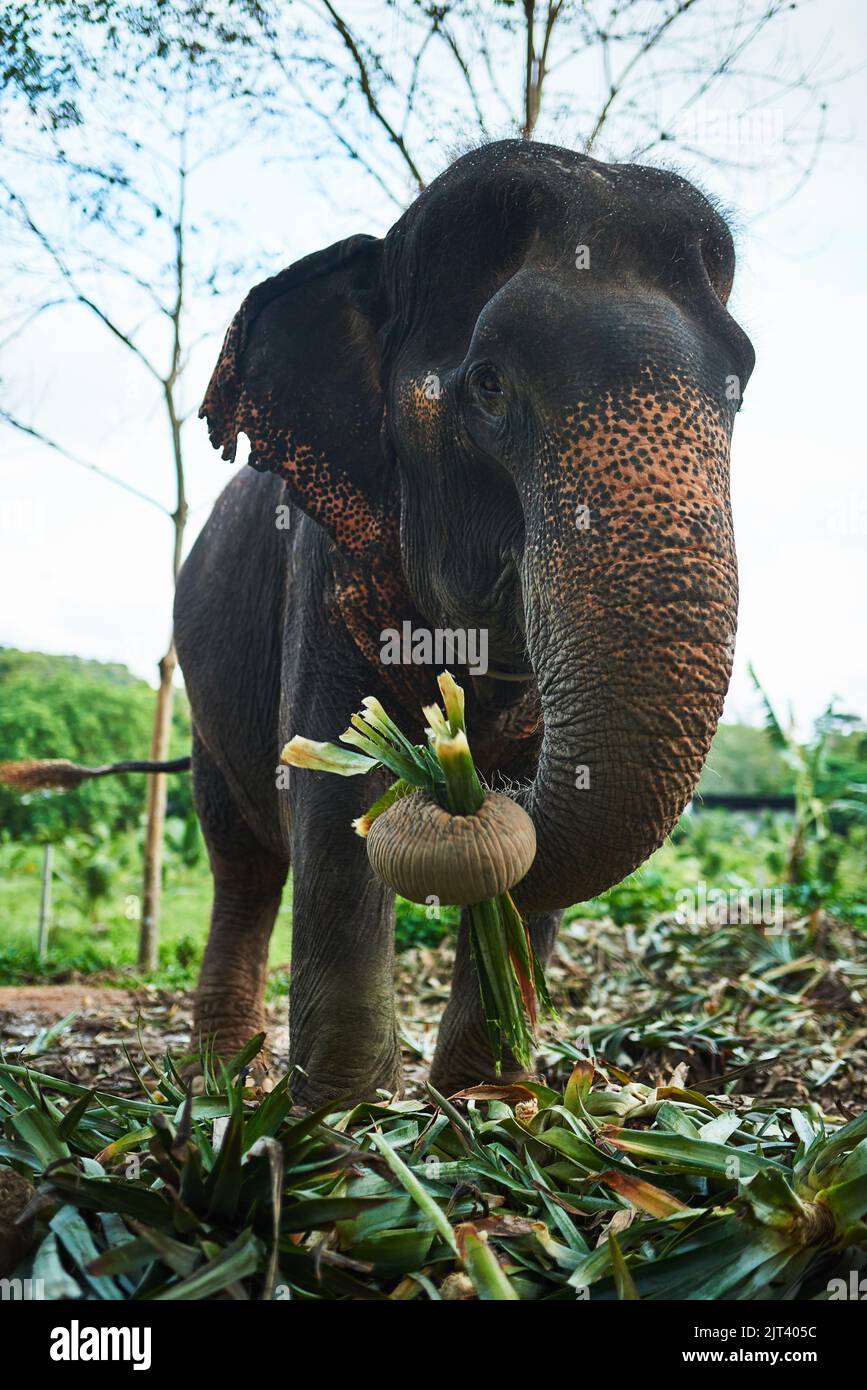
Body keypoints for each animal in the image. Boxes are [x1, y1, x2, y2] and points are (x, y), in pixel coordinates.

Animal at [174, 135, 750, 1100]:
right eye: (487, 384)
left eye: (739, 389)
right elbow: (337, 791)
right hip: (200, 702)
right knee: (243, 864)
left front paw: (493, 1105)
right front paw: (343, 1116)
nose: (466, 783)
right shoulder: (326, 560)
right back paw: (223, 1083)